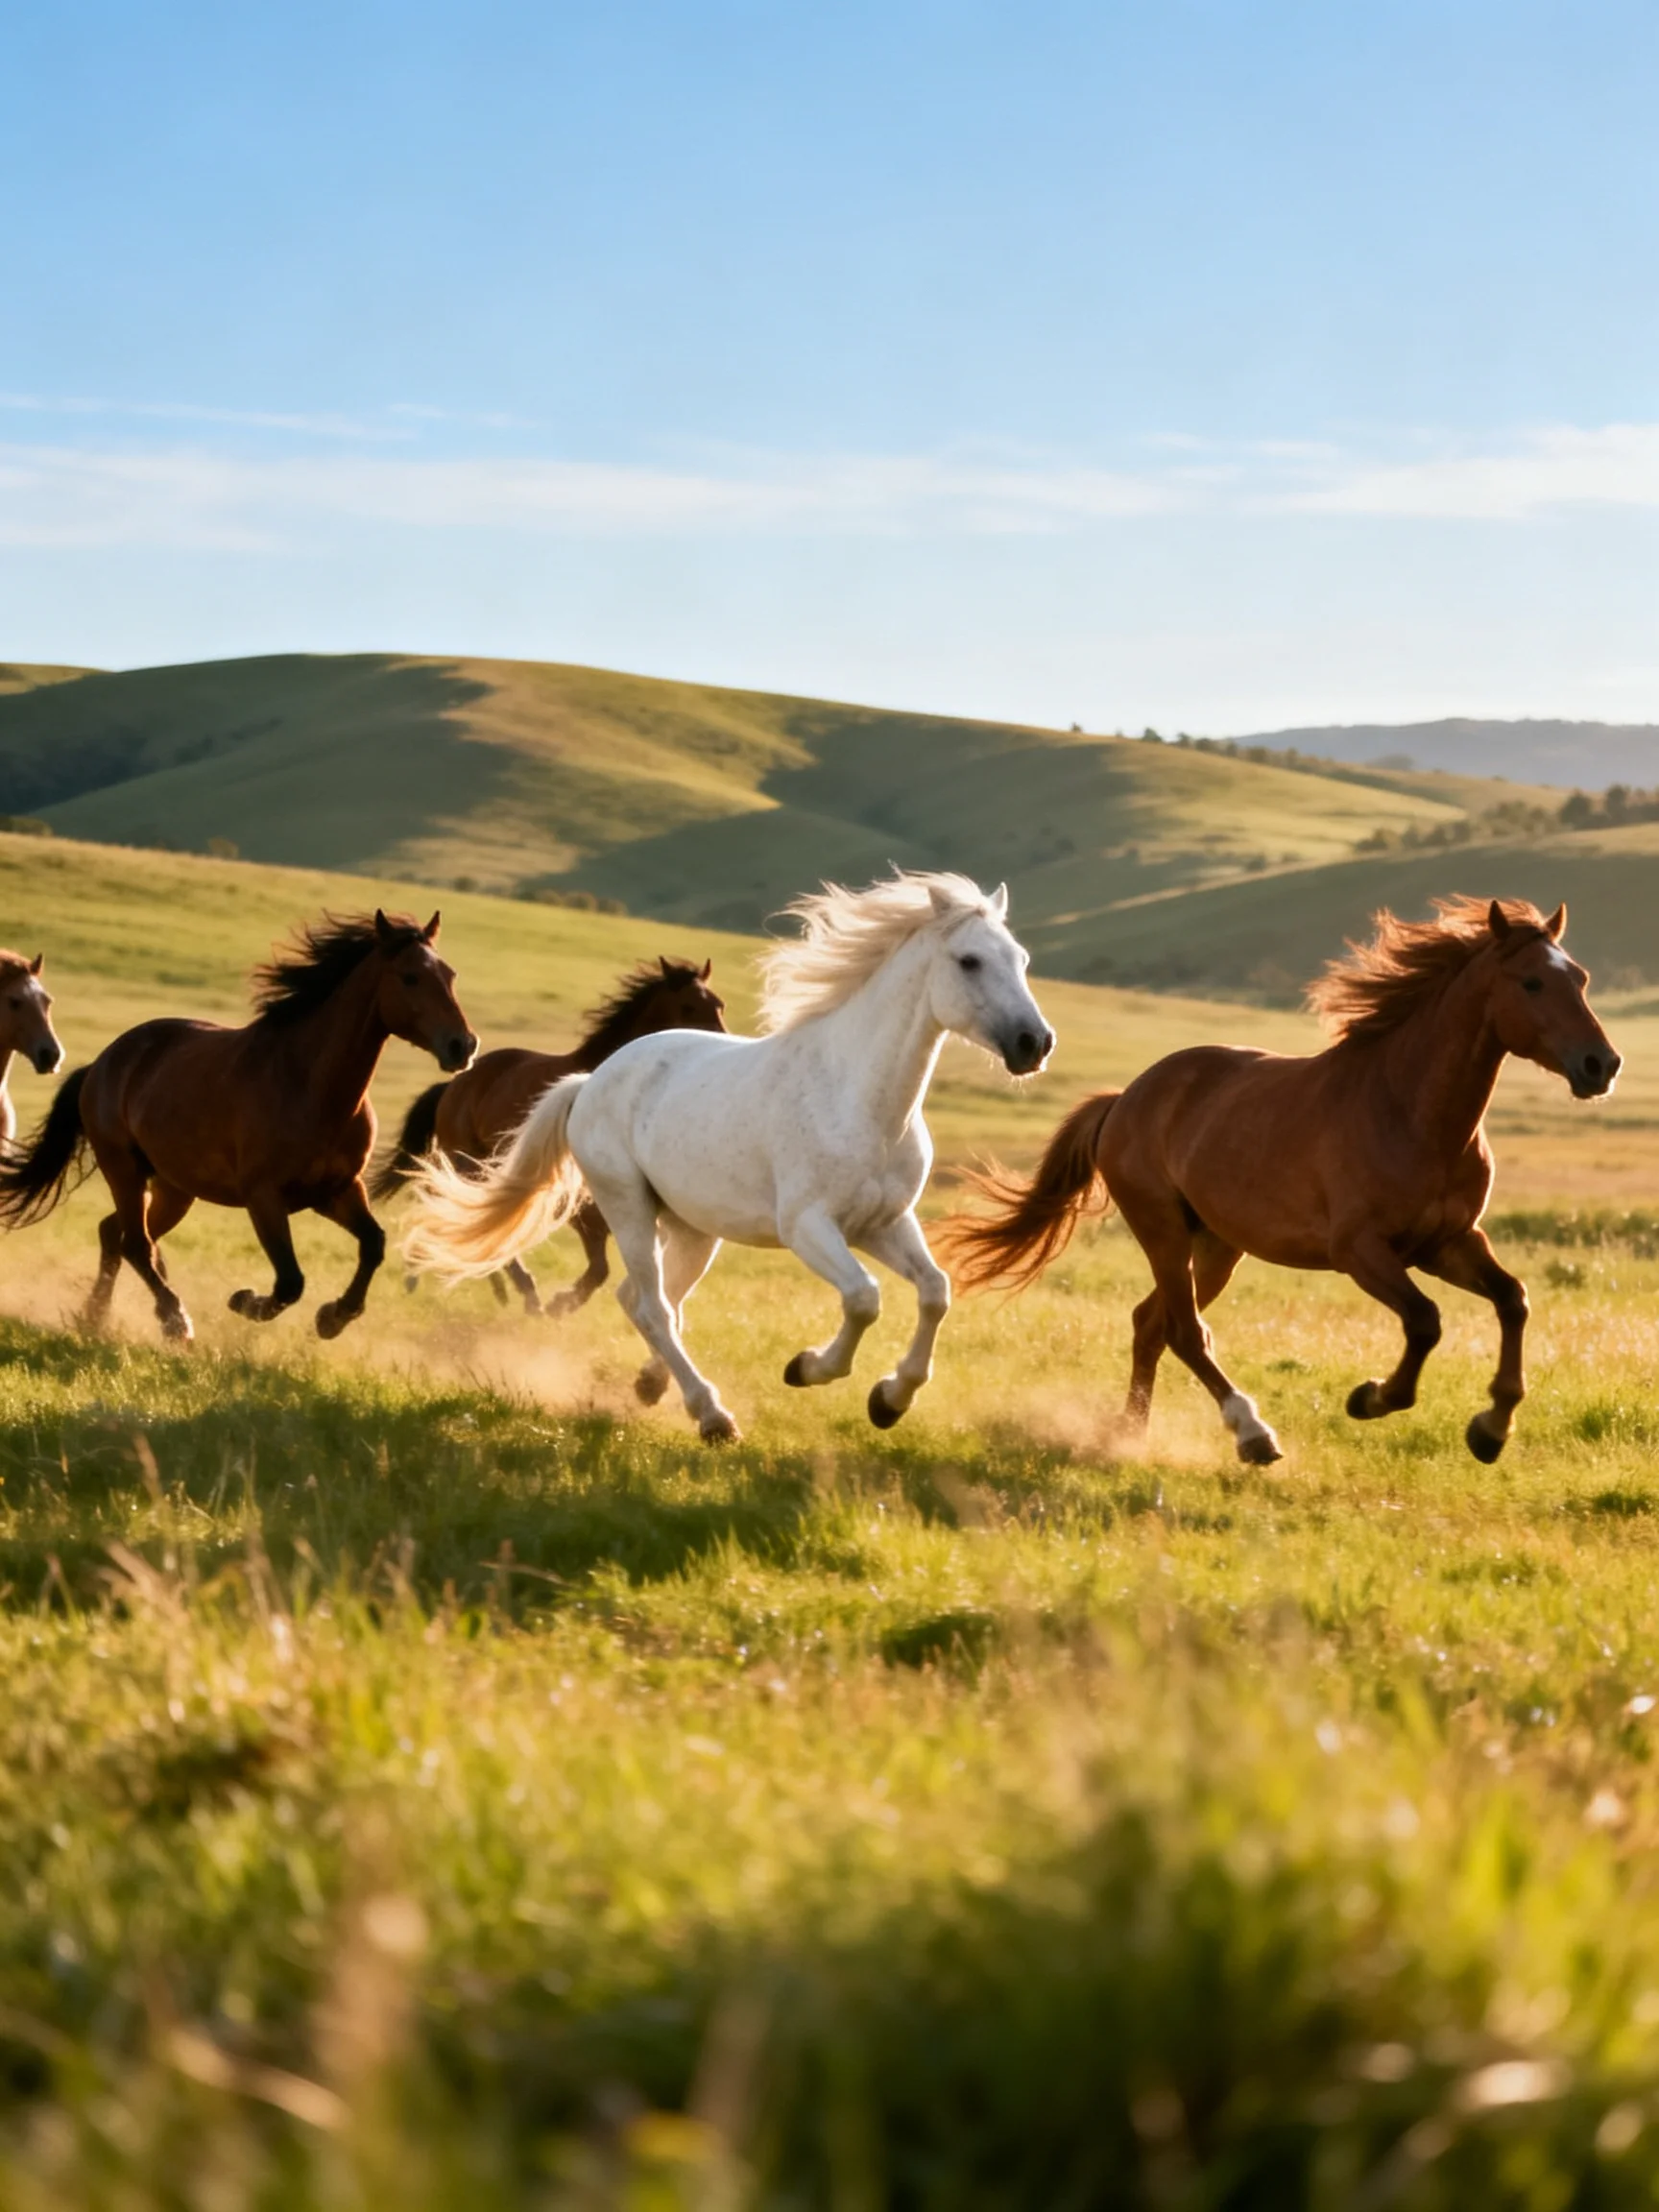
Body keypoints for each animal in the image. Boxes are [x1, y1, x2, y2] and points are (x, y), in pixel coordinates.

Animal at [372, 955, 728, 1317]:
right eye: (688, 1006)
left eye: (719, 1005)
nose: (722, 1048)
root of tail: (453, 1086)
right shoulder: (582, 1200)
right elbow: (599, 1265)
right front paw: (556, 1304)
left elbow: (603, 1266)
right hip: (471, 1163)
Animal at [941, 897, 1618, 1467]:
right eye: (1532, 982)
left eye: (1581, 979)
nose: (1601, 1065)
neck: (1412, 1114)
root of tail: (1125, 1098)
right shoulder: (1361, 1251)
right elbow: (1426, 1320)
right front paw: (1371, 1398)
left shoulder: (1447, 1243)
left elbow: (1513, 1300)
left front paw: (1490, 1429)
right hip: (1163, 1231)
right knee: (1185, 1332)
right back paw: (1252, 1435)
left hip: (1216, 1246)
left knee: (1151, 1324)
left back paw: (1130, 1435)